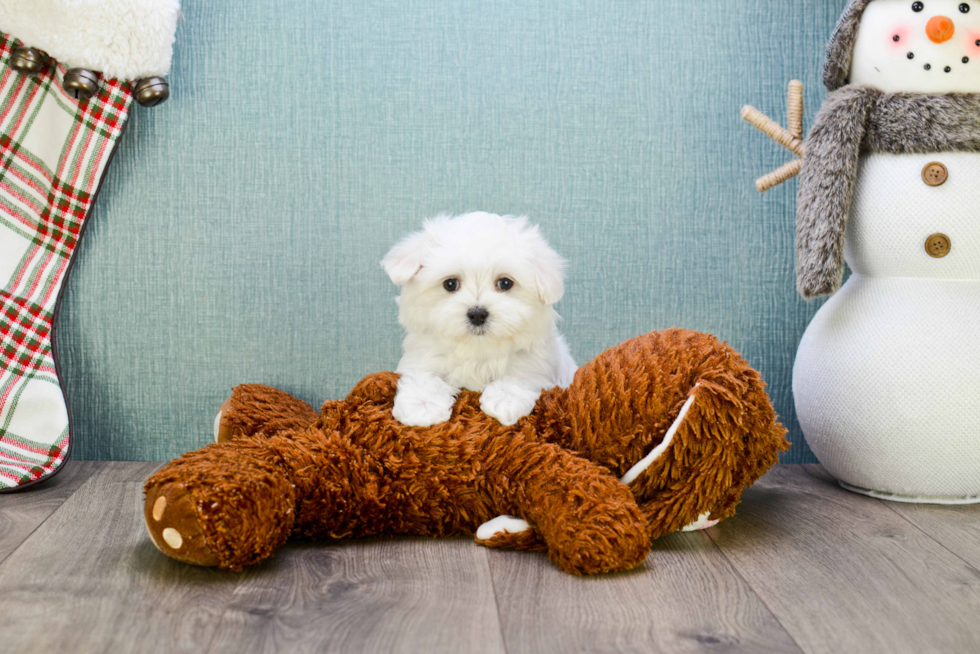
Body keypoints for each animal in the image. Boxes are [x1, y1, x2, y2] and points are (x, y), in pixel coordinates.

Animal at [382, 211, 580, 430]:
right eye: (450, 284)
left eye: (505, 283)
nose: (477, 314)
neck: (478, 348)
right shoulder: (423, 354)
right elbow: (424, 375)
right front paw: (421, 405)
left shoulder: (538, 360)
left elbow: (522, 373)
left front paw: (505, 399)